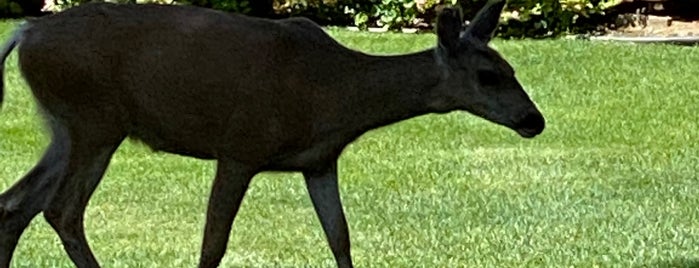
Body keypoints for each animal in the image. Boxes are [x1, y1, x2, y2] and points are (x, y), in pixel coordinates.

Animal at [0, 0, 548, 266]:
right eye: (489, 76)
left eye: (512, 68)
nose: (534, 120)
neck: (335, 93)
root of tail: (26, 32)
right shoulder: (240, 146)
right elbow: (213, 245)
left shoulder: (319, 162)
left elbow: (341, 238)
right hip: (93, 120)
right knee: (61, 210)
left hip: (65, 127)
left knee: (15, 204)